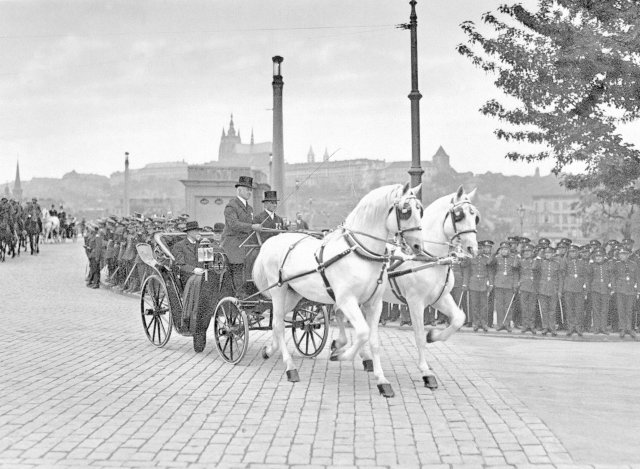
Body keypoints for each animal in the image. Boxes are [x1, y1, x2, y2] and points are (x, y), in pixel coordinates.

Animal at [251, 183, 424, 394]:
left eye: (420, 209)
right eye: (405, 211)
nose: (418, 246)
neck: (359, 252)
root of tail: (271, 241)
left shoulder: (374, 303)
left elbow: (373, 340)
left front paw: (382, 380)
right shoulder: (347, 300)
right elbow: (362, 333)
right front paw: (341, 354)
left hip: (293, 295)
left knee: (278, 321)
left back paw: (270, 350)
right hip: (278, 291)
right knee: (277, 324)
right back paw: (290, 367)